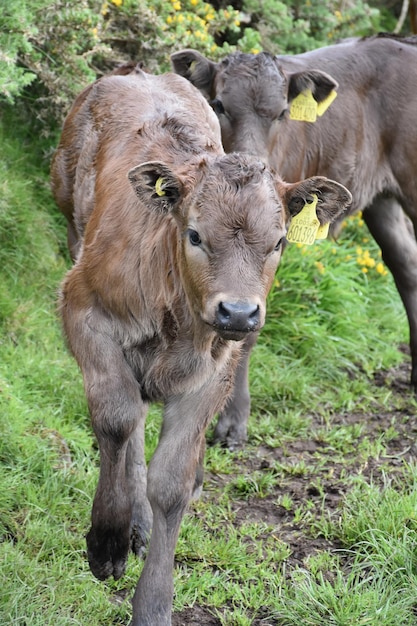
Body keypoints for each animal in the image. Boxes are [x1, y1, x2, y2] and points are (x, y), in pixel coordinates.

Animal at [52, 66, 352, 620]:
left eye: (279, 241)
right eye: (194, 235)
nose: (238, 311)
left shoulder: (214, 370)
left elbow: (172, 482)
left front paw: (153, 605)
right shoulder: (82, 310)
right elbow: (117, 419)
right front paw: (107, 542)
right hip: (71, 223)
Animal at [172, 34, 417, 444]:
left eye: (282, 113)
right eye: (218, 105)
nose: (253, 160)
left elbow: (246, 327)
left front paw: (233, 420)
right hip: (381, 200)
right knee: (406, 265)